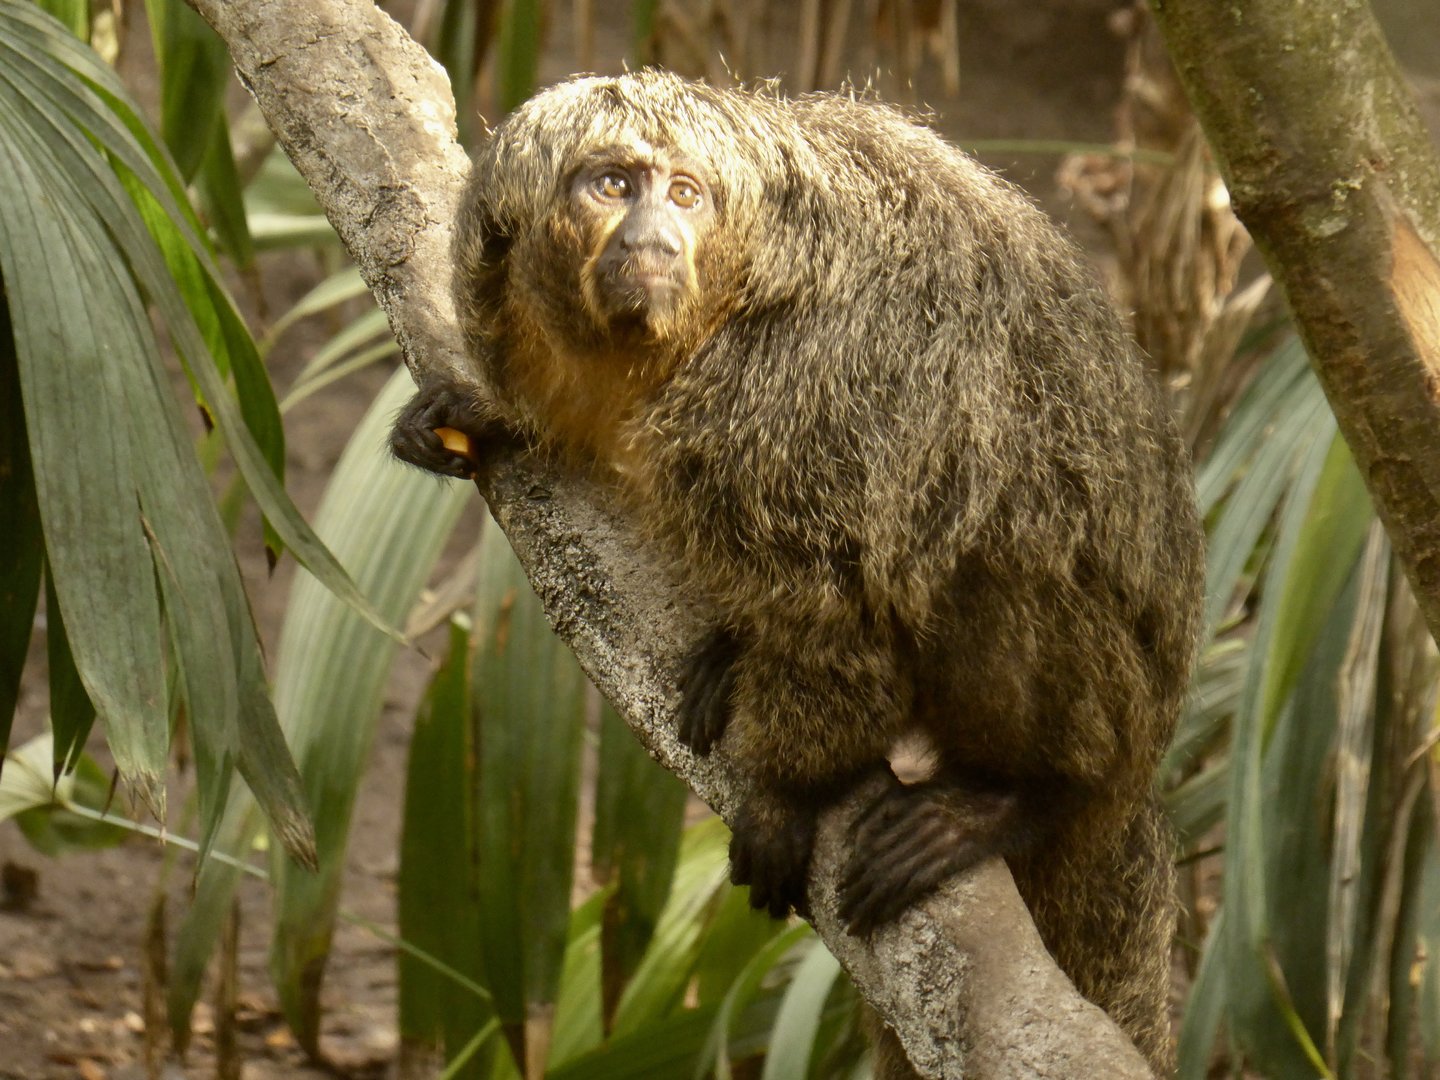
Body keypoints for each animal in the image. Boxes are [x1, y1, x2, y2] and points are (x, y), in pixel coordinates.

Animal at [392, 69, 1204, 1075]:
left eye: (686, 194)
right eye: (612, 185)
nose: (653, 240)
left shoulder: (785, 387)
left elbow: (840, 602)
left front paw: (784, 799)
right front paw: (486, 416)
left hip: (1115, 699)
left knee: (998, 530)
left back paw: (1024, 794)